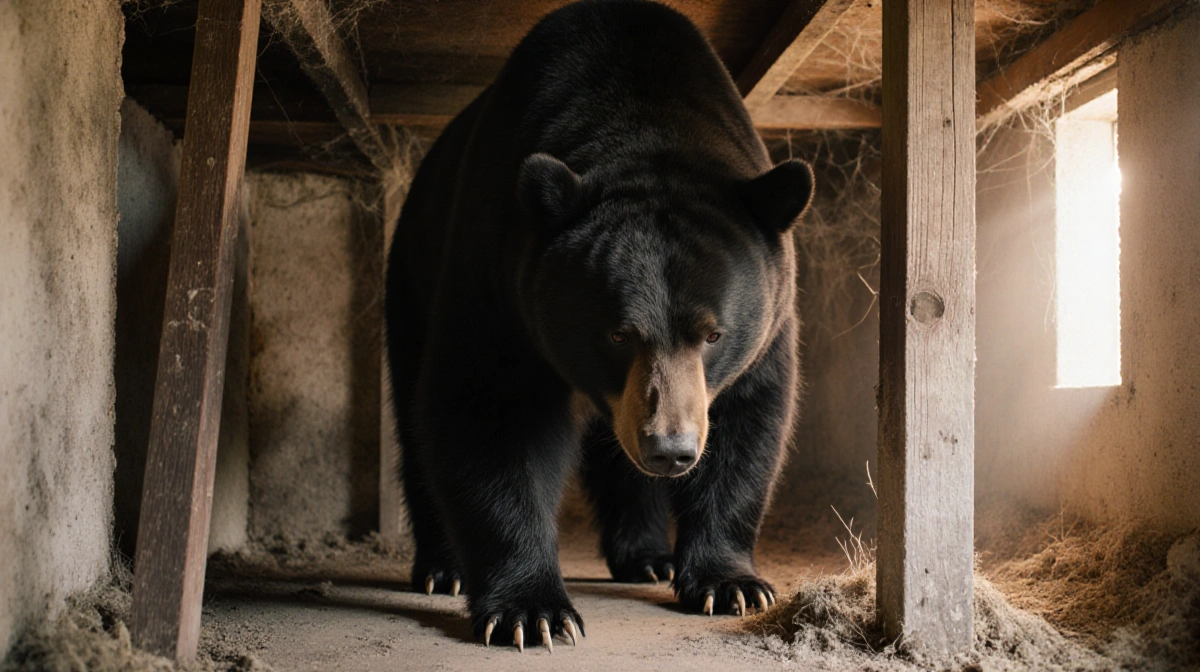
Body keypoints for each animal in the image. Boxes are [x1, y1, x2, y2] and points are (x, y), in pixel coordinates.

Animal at [385, 0, 813, 652]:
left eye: (713, 335)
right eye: (617, 333)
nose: (671, 448)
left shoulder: (769, 319)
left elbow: (749, 420)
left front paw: (731, 582)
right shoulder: (497, 278)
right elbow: (489, 413)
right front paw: (532, 610)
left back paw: (647, 555)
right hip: (413, 269)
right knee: (413, 411)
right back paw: (442, 567)